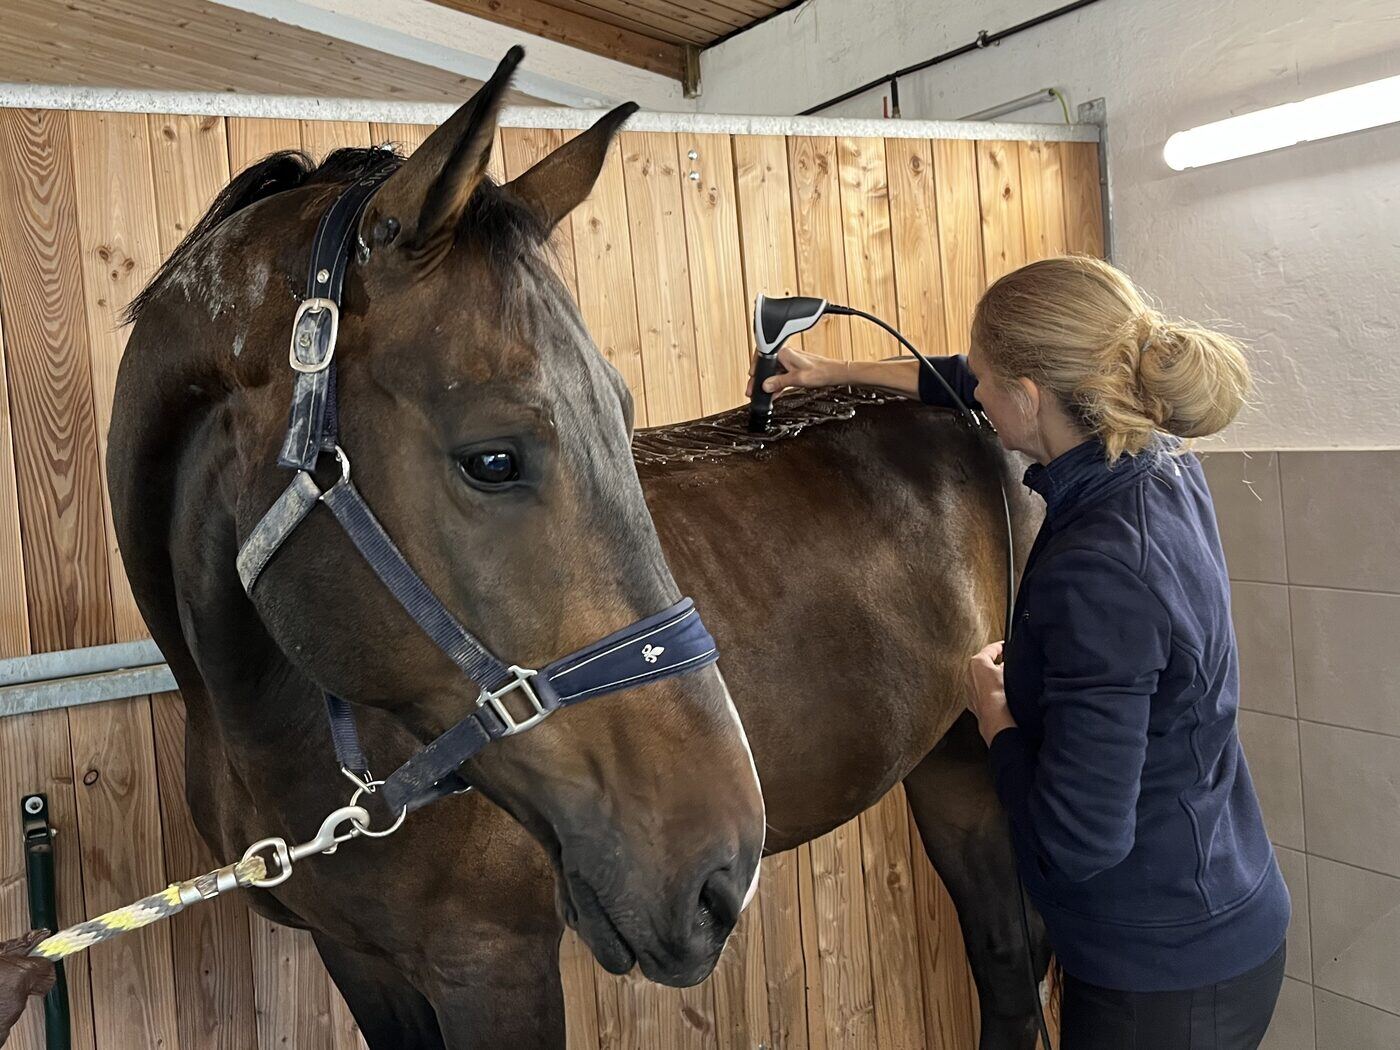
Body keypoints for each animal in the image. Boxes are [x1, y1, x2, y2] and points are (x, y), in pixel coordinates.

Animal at [107, 48, 1049, 1049]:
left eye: (623, 415)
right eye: (492, 460)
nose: (723, 870)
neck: (269, 726)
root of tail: (972, 402)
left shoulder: (491, 965)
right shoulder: (359, 961)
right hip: (950, 769)